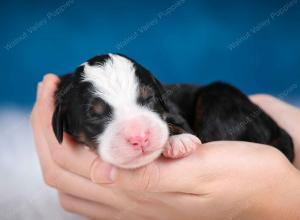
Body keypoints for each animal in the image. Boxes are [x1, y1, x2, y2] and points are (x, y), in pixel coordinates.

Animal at [52, 53, 294, 168]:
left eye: (148, 99)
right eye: (96, 114)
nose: (140, 137)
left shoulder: (173, 110)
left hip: (220, 96)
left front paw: (179, 141)